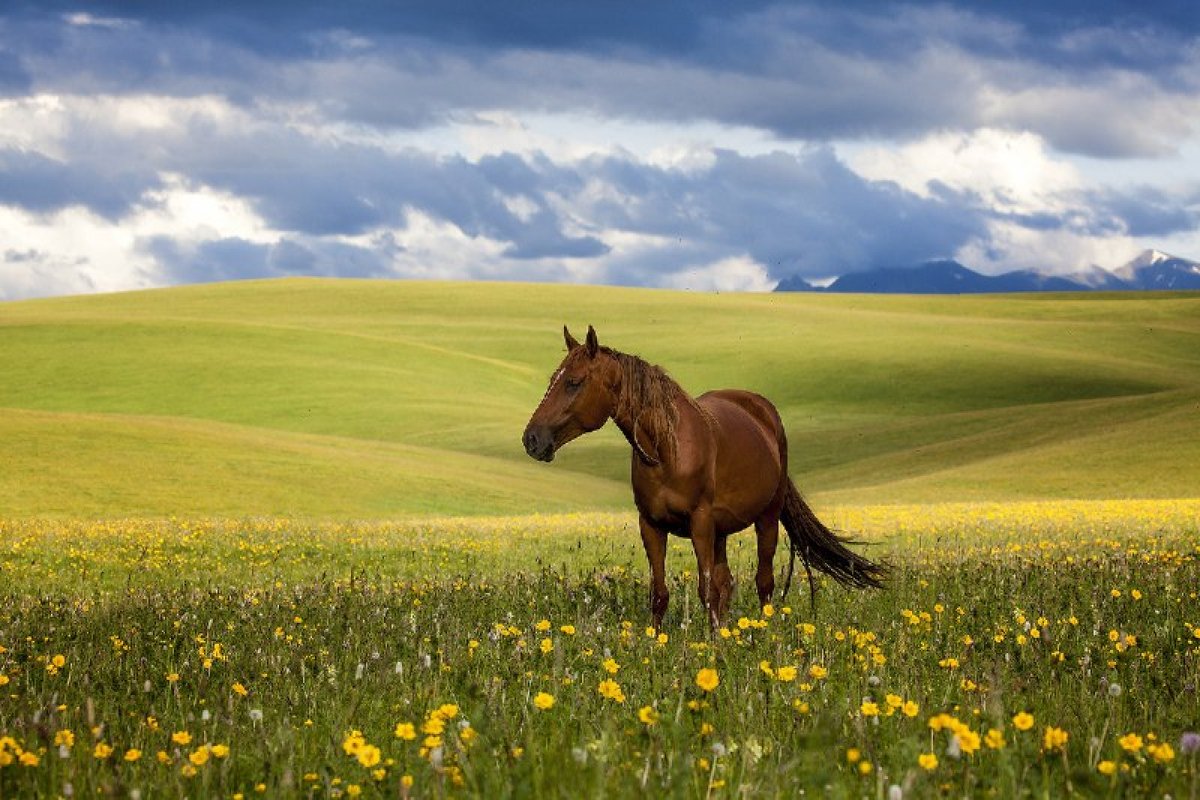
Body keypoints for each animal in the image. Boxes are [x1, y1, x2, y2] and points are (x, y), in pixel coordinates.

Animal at [520, 326, 888, 633]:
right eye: (554, 378)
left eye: (574, 382)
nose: (532, 439)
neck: (667, 450)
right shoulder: (651, 525)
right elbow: (661, 592)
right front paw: (658, 642)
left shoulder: (700, 523)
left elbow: (706, 588)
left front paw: (712, 649)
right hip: (721, 531)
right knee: (727, 582)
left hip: (766, 518)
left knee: (763, 581)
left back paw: (763, 631)